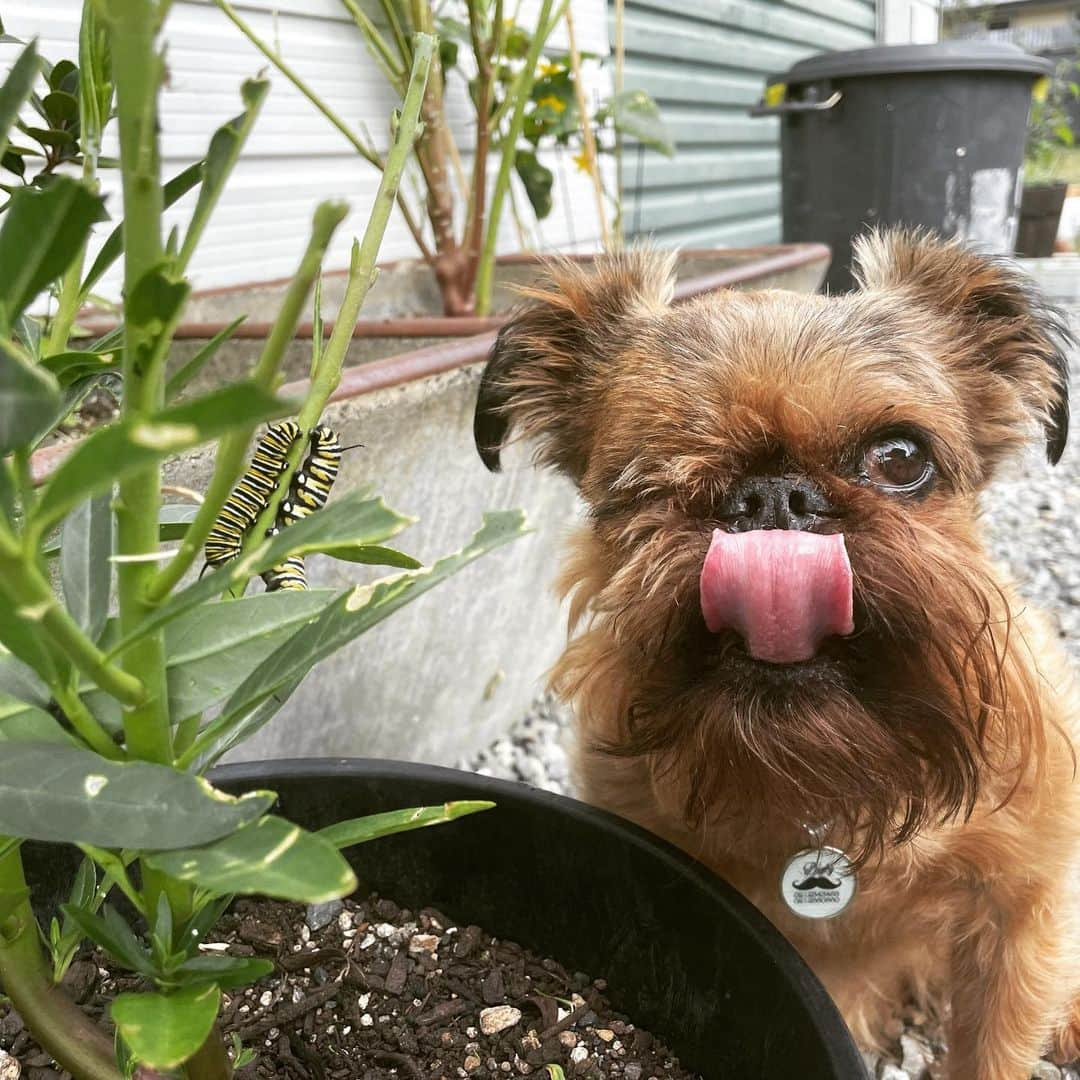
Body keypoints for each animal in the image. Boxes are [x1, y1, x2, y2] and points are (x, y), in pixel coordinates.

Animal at [477, 234, 1080, 1080]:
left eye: (902, 457)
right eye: (644, 477)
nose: (773, 497)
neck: (821, 792)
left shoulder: (1020, 917)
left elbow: (990, 1053)